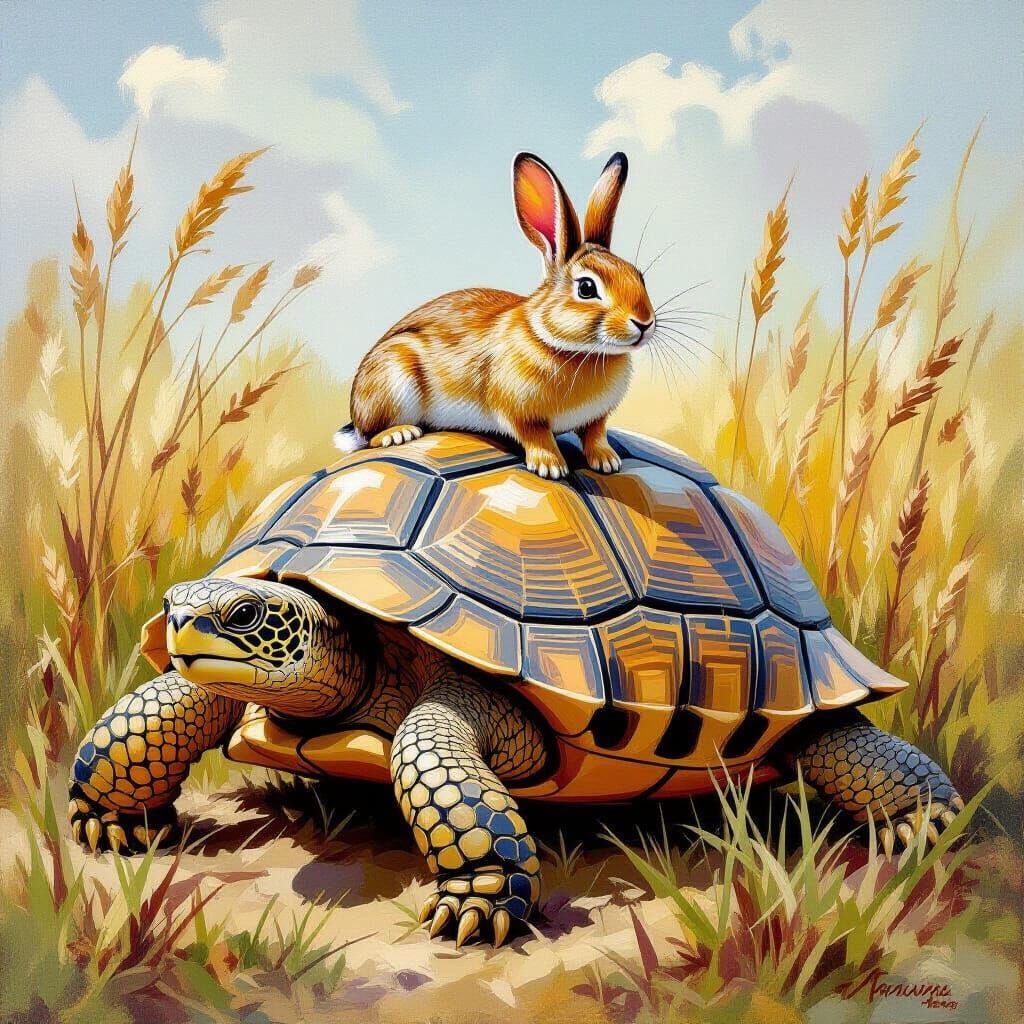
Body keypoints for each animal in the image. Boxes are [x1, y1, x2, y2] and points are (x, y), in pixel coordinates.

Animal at [336, 151, 655, 479]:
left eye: (639, 277)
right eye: (587, 288)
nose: (644, 323)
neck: (573, 349)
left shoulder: (596, 418)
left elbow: (595, 434)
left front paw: (607, 461)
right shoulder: (519, 411)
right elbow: (536, 436)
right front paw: (550, 467)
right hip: (391, 380)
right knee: (371, 435)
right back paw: (399, 433)